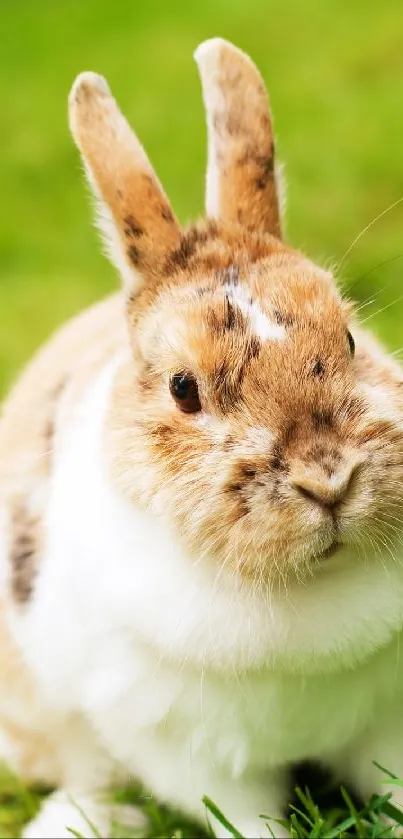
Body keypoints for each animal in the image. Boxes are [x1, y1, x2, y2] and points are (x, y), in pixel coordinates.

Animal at [0, 37, 403, 839]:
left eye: (349, 338)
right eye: (184, 388)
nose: (329, 477)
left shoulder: (388, 714)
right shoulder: (188, 754)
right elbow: (243, 817)